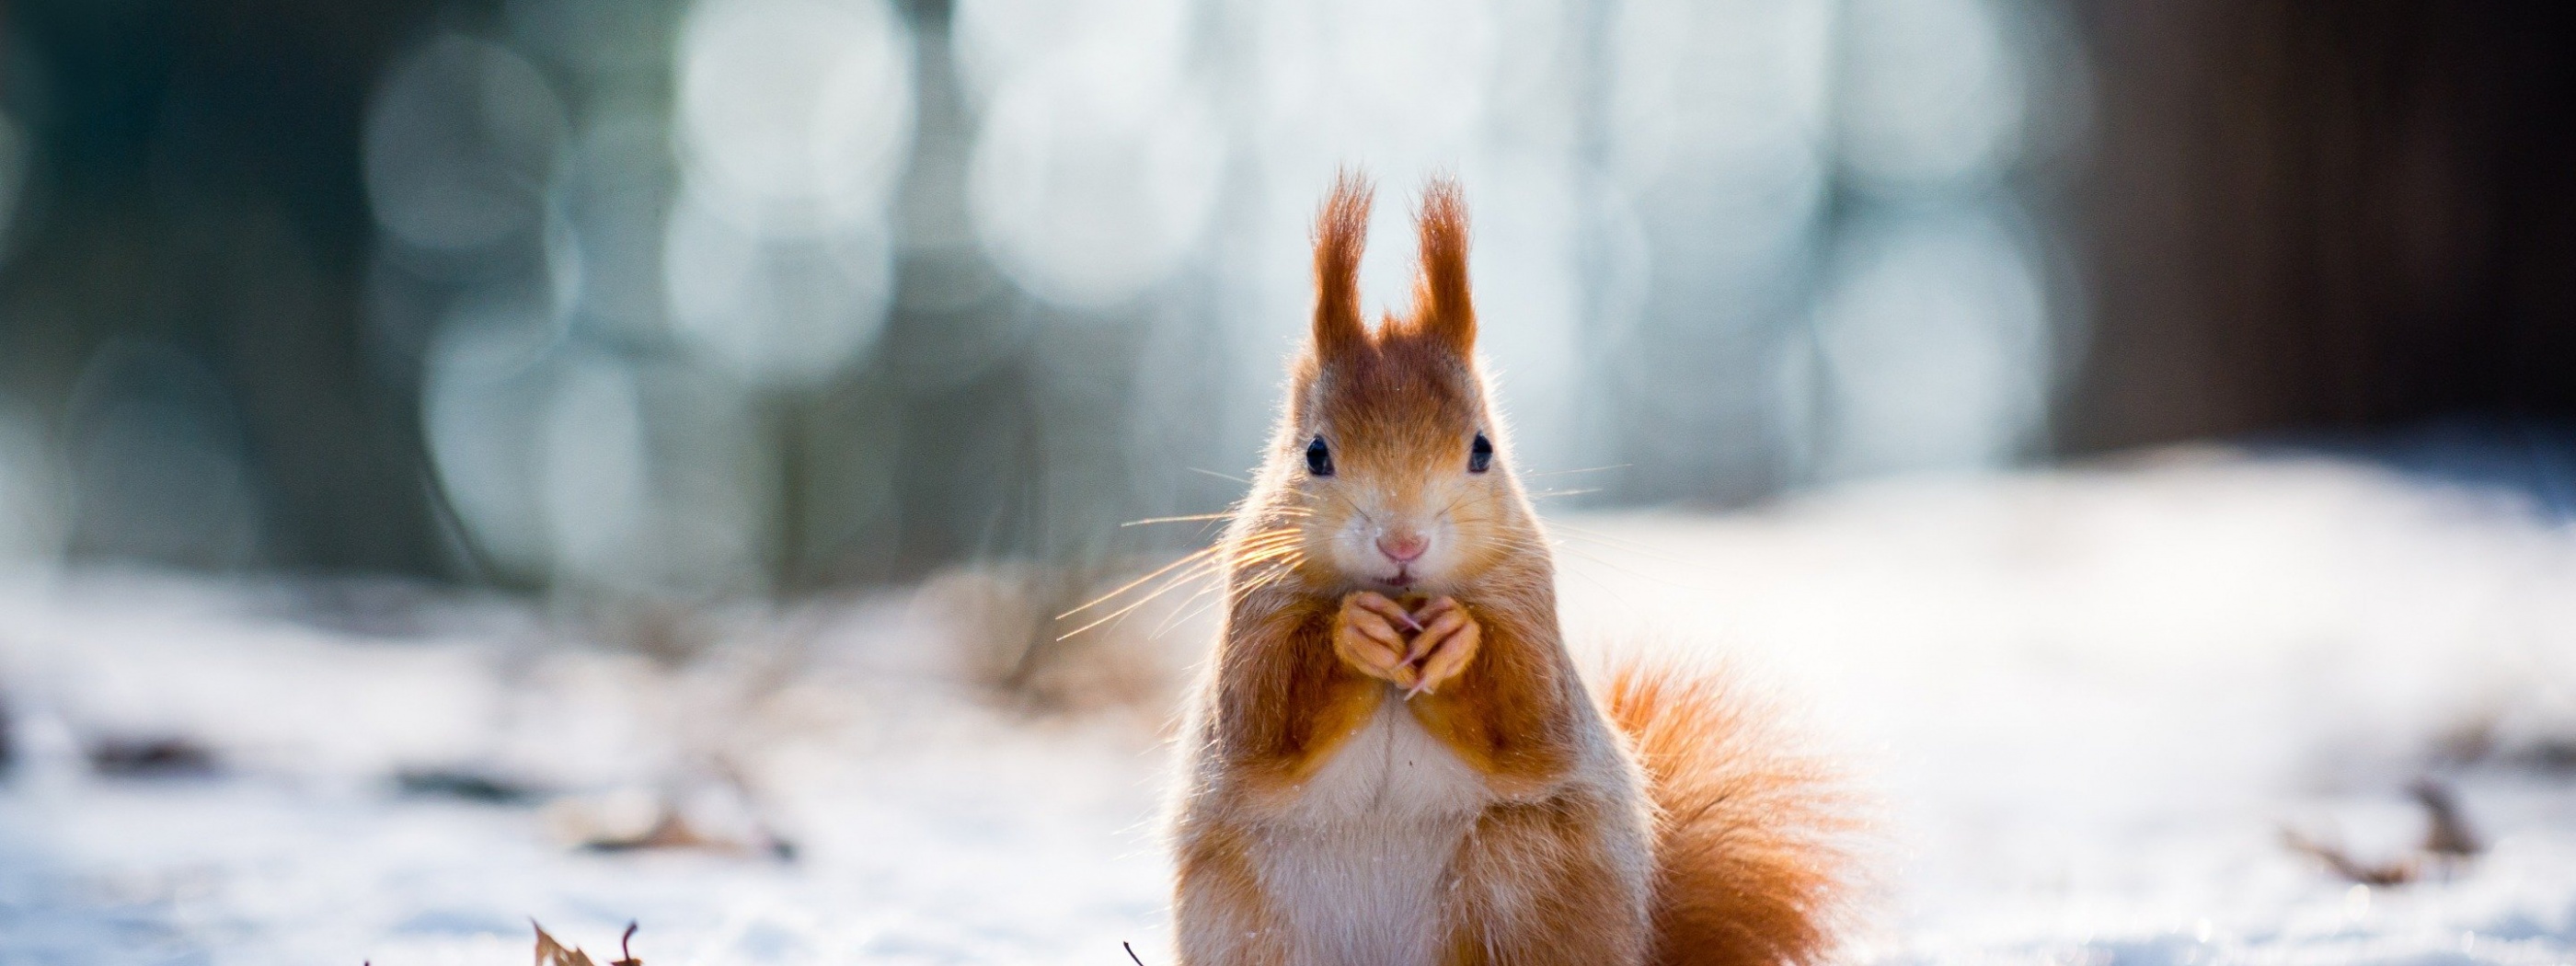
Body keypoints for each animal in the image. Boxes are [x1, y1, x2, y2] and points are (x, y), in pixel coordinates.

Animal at [1164, 176, 1855, 966]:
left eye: (1482, 450)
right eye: (1314, 453)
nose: (1403, 544)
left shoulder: (1531, 606)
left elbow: (1527, 709)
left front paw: (1456, 640)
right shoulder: (1252, 606)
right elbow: (1262, 712)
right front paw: (1352, 631)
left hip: (1523, 877)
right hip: (1246, 919)